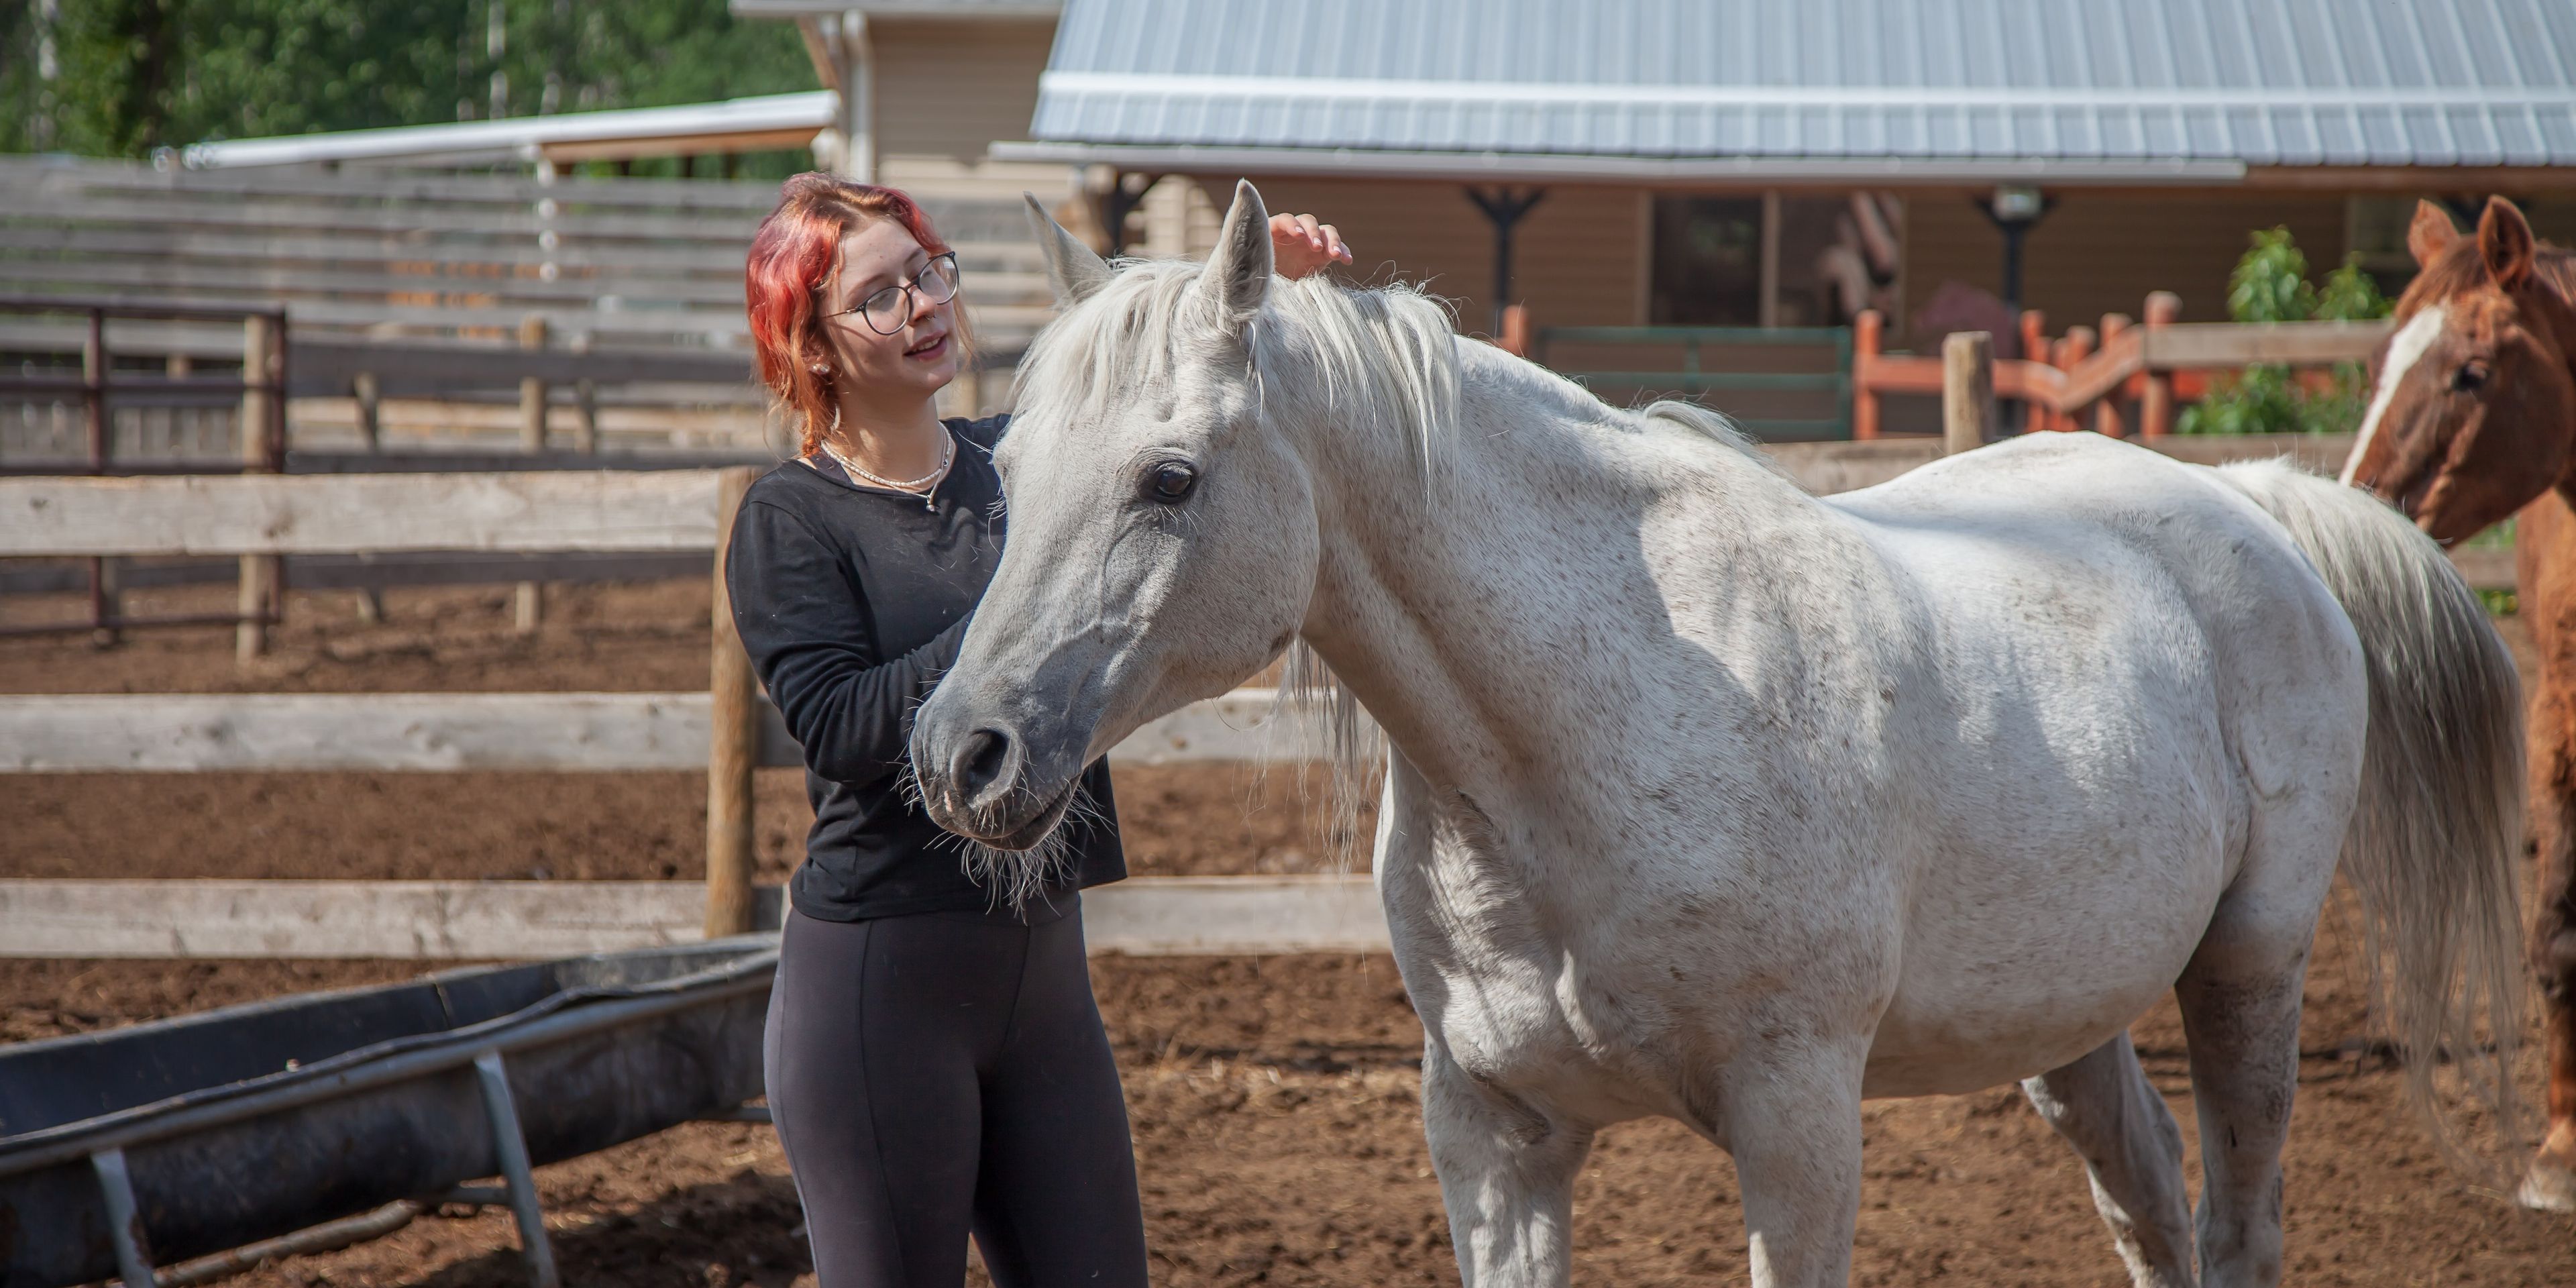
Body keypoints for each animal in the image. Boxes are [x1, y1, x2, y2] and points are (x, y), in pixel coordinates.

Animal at [913, 181, 2526, 1288]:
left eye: (1170, 479)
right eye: (1008, 464)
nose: (960, 754)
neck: (1584, 750)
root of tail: (2253, 504)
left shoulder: (1798, 1128)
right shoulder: (1493, 1144)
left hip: (2250, 974)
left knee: (2240, 1223)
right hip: (2071, 1025)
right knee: (2151, 1205)